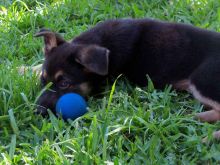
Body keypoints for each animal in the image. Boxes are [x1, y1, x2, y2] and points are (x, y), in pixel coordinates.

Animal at [34, 18, 220, 138]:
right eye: (43, 81)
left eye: (65, 83)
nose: (37, 112)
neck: (102, 45)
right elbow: (37, 65)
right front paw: (26, 68)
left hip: (201, 79)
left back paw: (206, 132)